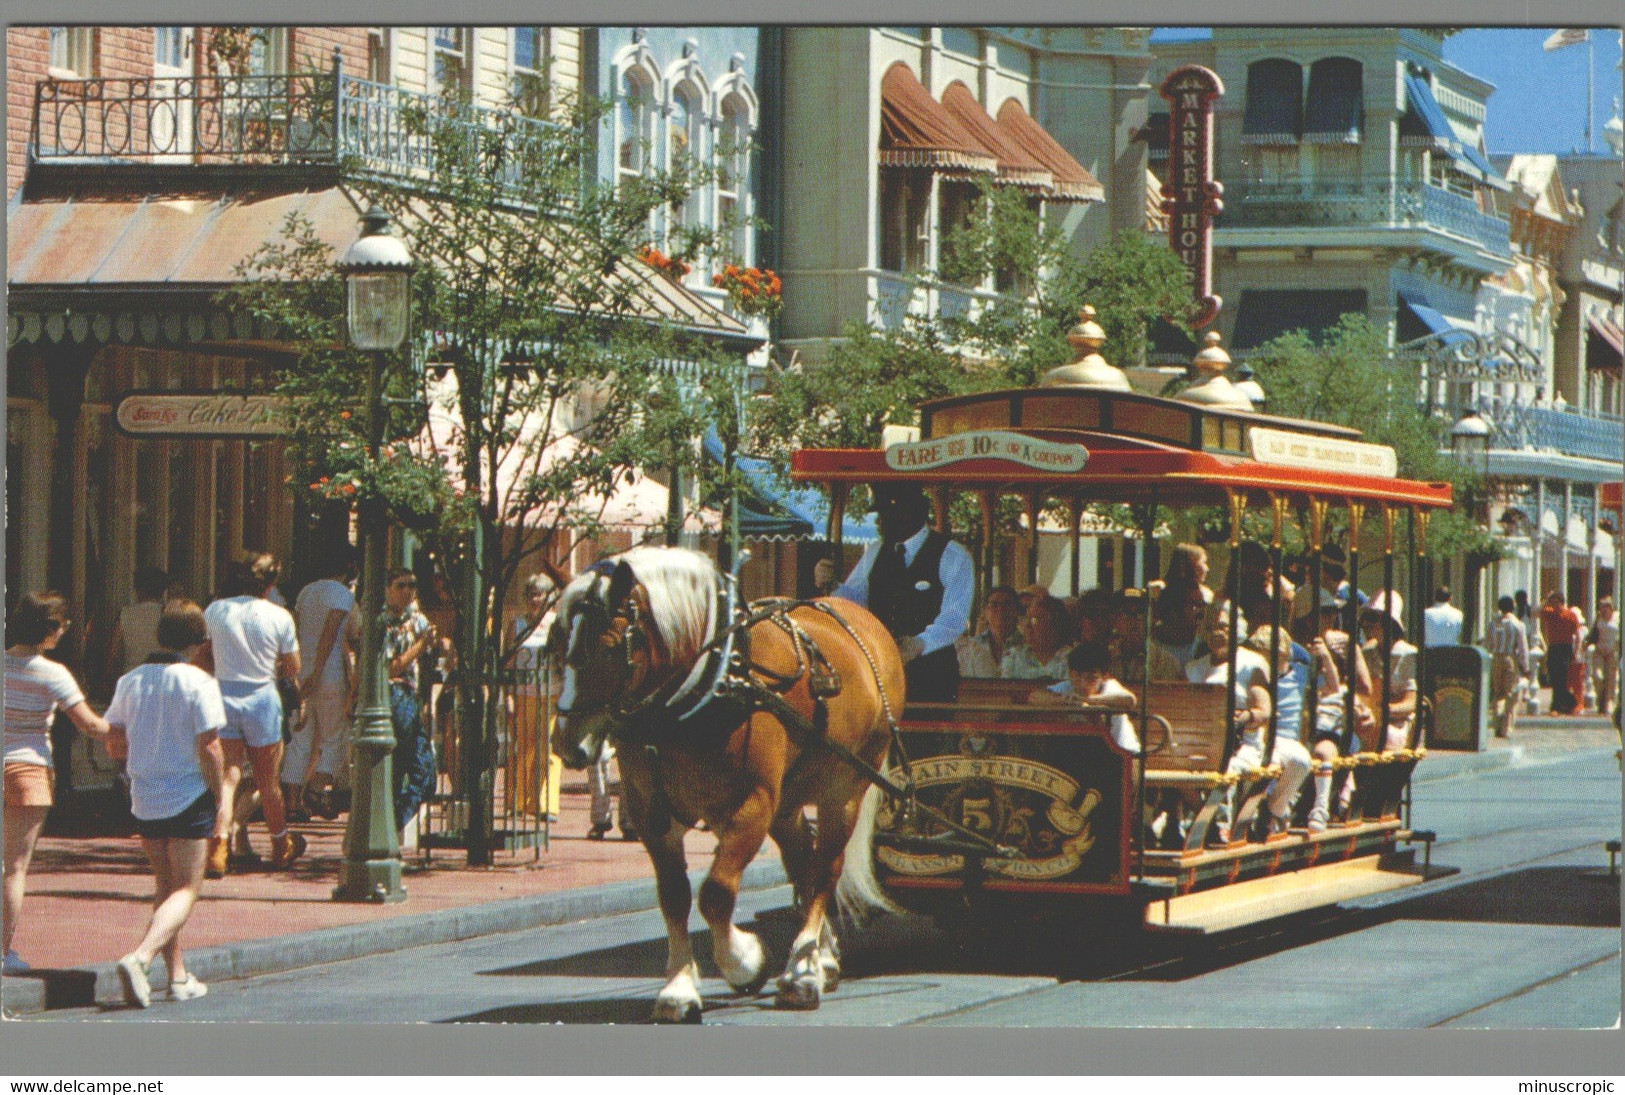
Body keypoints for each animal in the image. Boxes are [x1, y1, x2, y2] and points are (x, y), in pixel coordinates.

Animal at [549, 542, 903, 1020]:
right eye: (555, 641)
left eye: (607, 647)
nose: (567, 743)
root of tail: (865, 624)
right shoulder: (652, 814)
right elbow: (674, 896)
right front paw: (679, 989)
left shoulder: (750, 806)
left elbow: (715, 892)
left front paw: (745, 962)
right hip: (789, 800)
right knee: (804, 866)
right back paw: (820, 960)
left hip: (844, 789)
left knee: (825, 869)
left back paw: (802, 973)